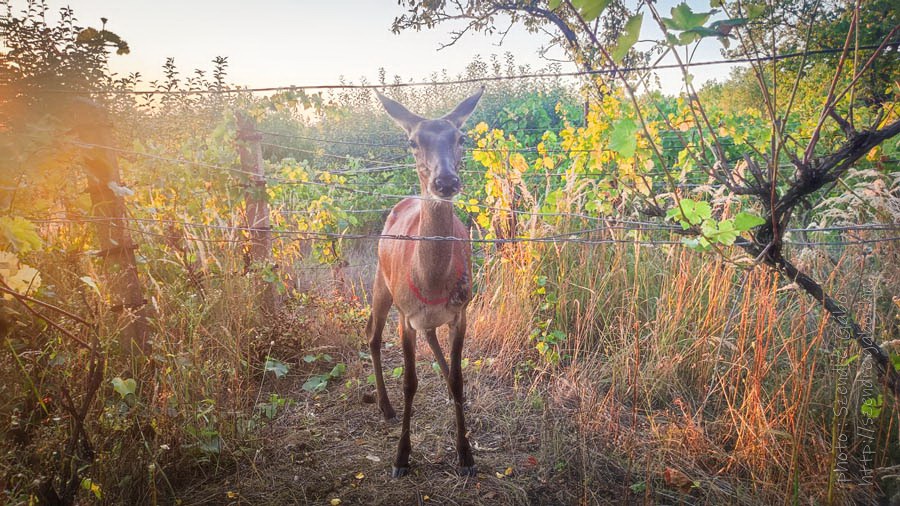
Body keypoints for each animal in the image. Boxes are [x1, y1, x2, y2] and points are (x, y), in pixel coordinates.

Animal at [366, 88, 483, 478]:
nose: (445, 182)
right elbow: (410, 383)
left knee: (432, 337)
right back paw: (385, 407)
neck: (431, 281)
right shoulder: (406, 316)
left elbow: (459, 379)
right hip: (381, 283)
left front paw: (465, 455)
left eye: (461, 138)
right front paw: (401, 457)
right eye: (413, 142)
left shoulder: (462, 311)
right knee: (372, 335)